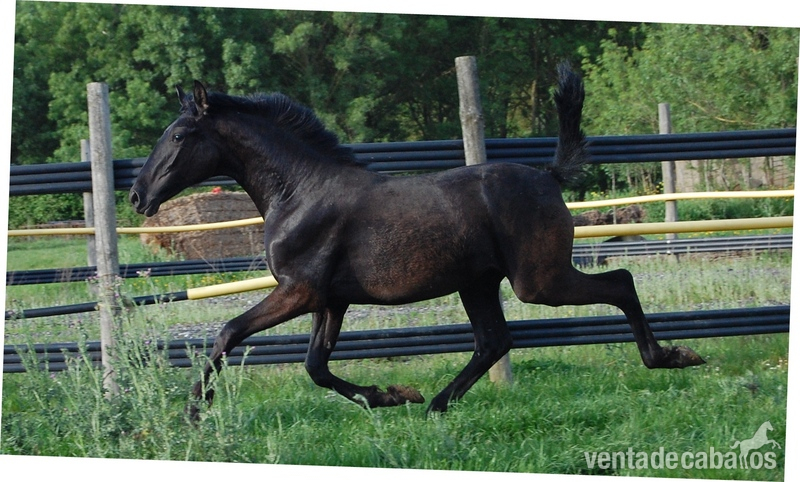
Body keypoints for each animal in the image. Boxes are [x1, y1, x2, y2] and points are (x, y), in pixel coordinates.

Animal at [129, 64, 705, 420]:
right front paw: (392, 395)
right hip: (480, 283)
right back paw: (435, 405)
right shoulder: (330, 300)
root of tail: (549, 176)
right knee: (495, 340)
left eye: (178, 135)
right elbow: (316, 366)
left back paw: (671, 357)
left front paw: (194, 411)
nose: (137, 196)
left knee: (620, 282)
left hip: (537, 280)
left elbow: (229, 331)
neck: (299, 192)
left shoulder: (300, 291)